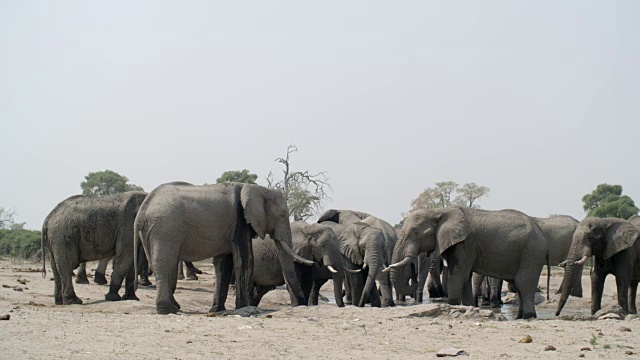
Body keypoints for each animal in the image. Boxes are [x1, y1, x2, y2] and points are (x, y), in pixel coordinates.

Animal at [135, 181, 312, 314]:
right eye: (282, 215)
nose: (301, 304)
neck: (255, 188)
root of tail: (142, 211)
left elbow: (224, 264)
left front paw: (217, 310)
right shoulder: (240, 222)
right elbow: (245, 260)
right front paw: (244, 307)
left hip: (152, 232)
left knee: (161, 263)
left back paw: (174, 306)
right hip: (165, 228)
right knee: (164, 263)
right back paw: (168, 309)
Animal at [390, 207, 552, 320]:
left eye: (415, 233)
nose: (412, 268)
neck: (438, 211)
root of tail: (541, 233)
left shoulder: (465, 244)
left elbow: (458, 276)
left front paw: (454, 305)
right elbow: (465, 278)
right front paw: (468, 307)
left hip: (531, 252)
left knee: (524, 284)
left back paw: (529, 316)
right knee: (519, 286)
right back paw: (520, 317)